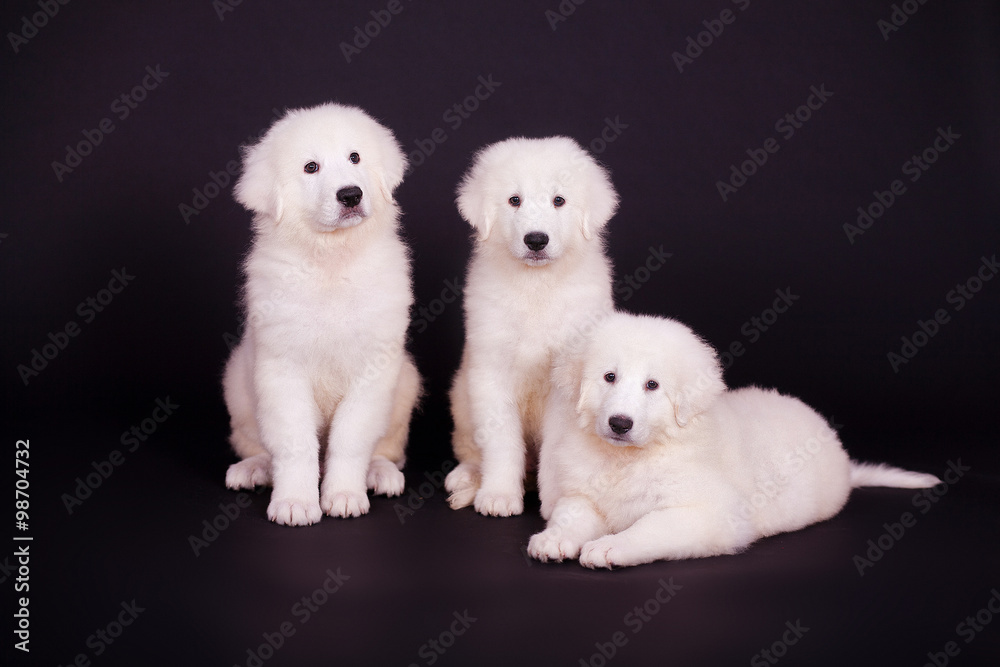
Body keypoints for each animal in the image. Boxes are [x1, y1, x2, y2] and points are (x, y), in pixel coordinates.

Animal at [221, 103, 420, 528]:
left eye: (355, 158)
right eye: (311, 167)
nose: (350, 194)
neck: (331, 259)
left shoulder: (372, 368)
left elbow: (350, 438)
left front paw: (344, 495)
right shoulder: (282, 369)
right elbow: (295, 443)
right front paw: (294, 502)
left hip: (405, 384)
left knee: (386, 448)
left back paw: (380, 473)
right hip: (238, 386)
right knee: (256, 444)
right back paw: (253, 468)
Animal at [444, 137, 616, 516]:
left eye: (559, 200)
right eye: (514, 200)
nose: (536, 240)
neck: (536, 286)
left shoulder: (565, 387)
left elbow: (555, 451)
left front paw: (554, 501)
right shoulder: (491, 373)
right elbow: (502, 444)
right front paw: (498, 495)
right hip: (462, 398)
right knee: (470, 448)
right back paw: (465, 479)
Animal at [532, 314, 944, 568]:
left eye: (652, 385)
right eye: (609, 377)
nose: (619, 423)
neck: (627, 458)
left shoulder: (707, 515)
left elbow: (650, 527)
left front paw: (611, 545)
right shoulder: (584, 494)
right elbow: (571, 513)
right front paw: (555, 538)